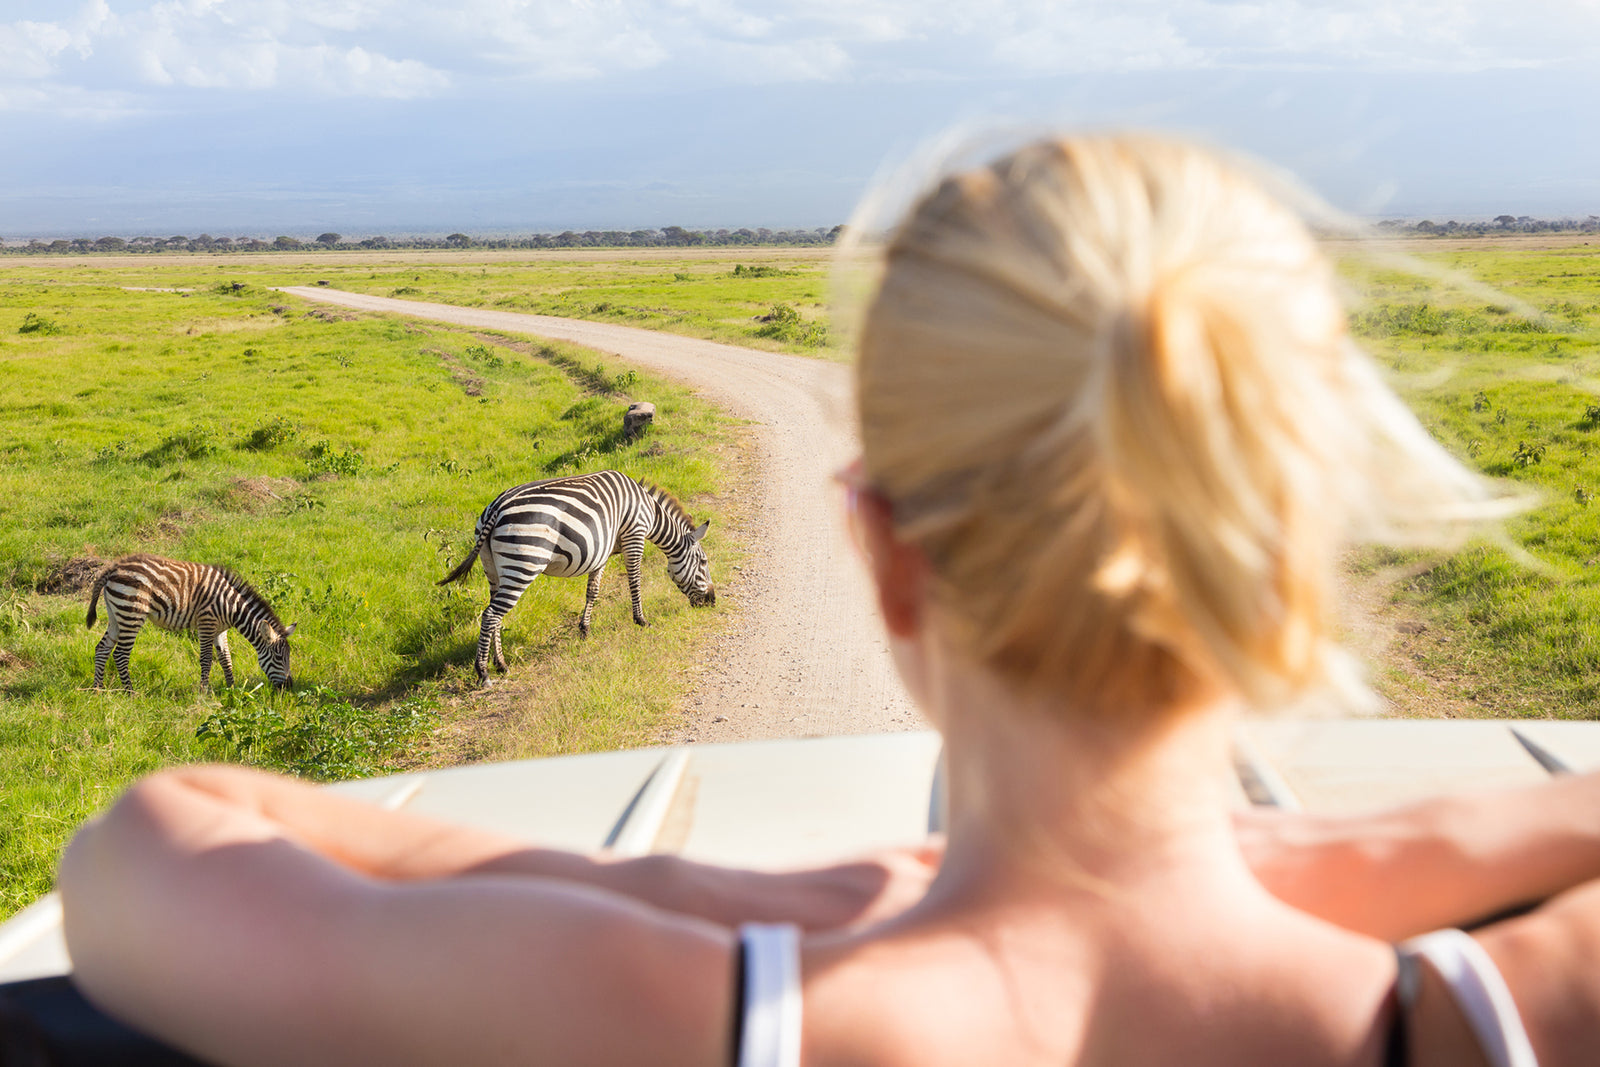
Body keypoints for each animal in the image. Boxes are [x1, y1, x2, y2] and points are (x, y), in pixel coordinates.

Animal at [86, 554, 296, 691]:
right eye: (279, 658)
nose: (289, 687)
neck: (232, 606)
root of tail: (114, 567)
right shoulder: (207, 623)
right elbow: (206, 659)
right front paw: (204, 692)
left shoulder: (220, 630)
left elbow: (226, 659)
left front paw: (232, 689)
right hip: (132, 612)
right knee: (120, 654)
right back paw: (130, 693)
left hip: (116, 614)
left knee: (102, 648)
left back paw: (98, 690)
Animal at [438, 470, 715, 686]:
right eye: (704, 562)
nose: (712, 602)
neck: (650, 512)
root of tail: (496, 508)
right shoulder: (634, 536)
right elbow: (635, 581)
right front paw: (641, 620)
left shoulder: (602, 551)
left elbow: (593, 590)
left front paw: (585, 629)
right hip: (523, 564)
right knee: (490, 615)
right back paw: (483, 673)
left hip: (493, 568)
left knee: (494, 614)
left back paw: (501, 664)